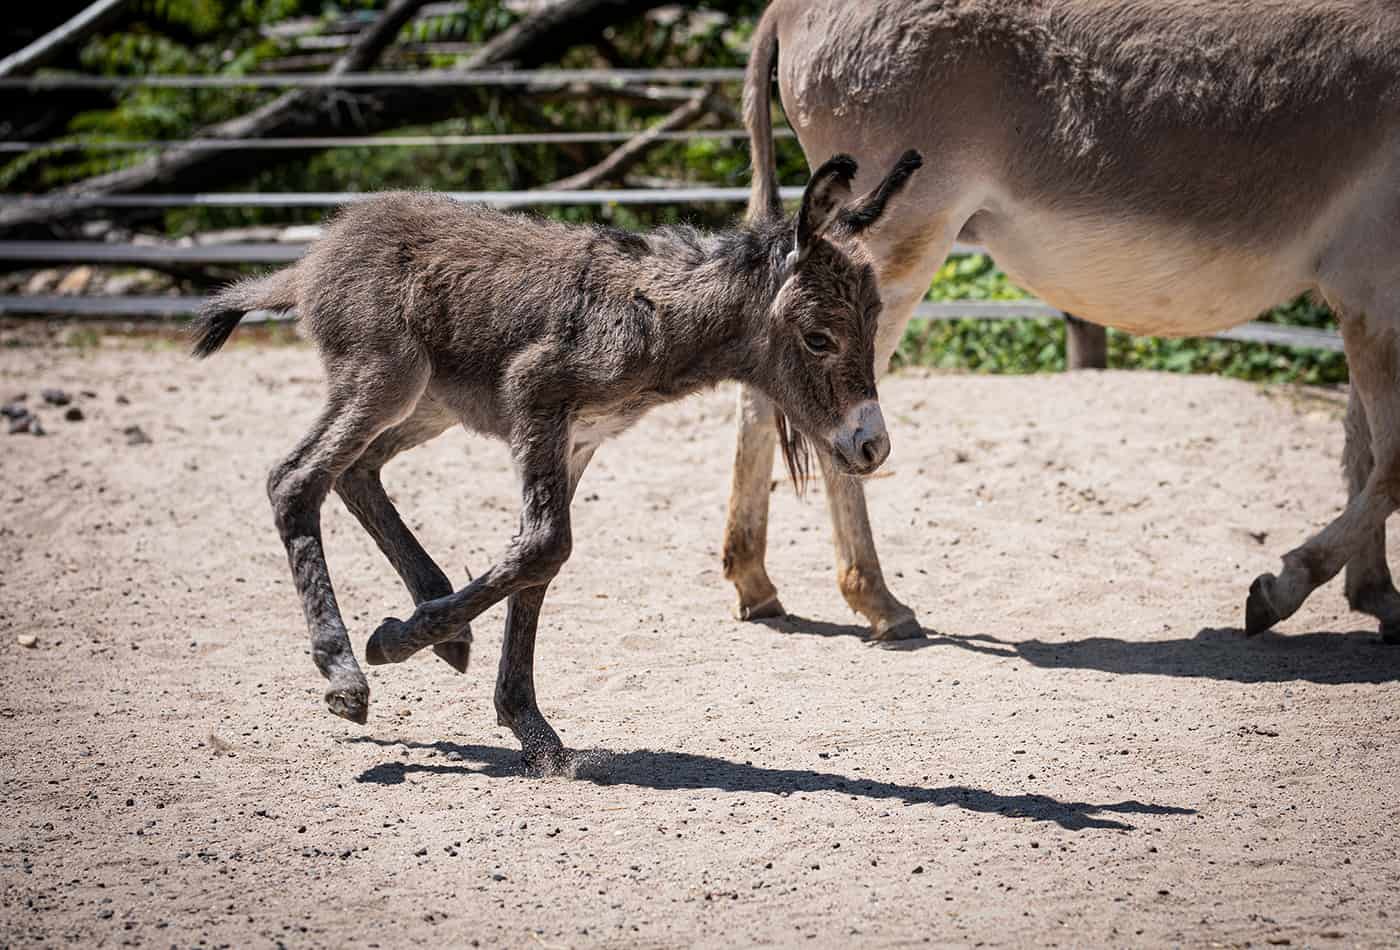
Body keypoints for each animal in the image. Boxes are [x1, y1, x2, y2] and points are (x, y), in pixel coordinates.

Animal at [191, 152, 924, 766]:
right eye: (819, 338)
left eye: (874, 323)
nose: (873, 445)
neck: (658, 318)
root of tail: (316, 252)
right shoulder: (536, 400)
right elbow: (545, 546)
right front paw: (397, 641)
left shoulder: (577, 441)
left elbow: (535, 562)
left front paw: (529, 727)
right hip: (384, 378)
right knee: (296, 478)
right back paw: (346, 670)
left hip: (426, 404)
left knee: (355, 473)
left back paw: (444, 627)